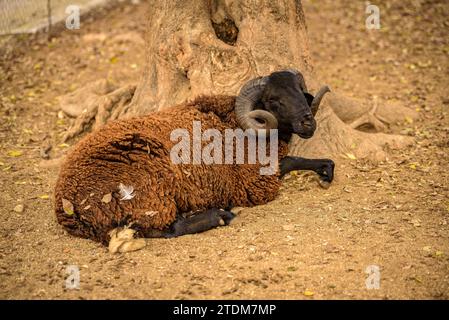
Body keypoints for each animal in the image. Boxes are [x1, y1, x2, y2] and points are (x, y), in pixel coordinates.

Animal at [54, 70, 332, 250]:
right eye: (274, 99)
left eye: (301, 92)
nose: (308, 123)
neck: (238, 124)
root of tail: (66, 207)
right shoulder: (253, 182)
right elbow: (291, 161)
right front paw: (325, 170)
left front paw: (326, 169)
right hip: (148, 189)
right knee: (164, 229)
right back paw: (218, 215)